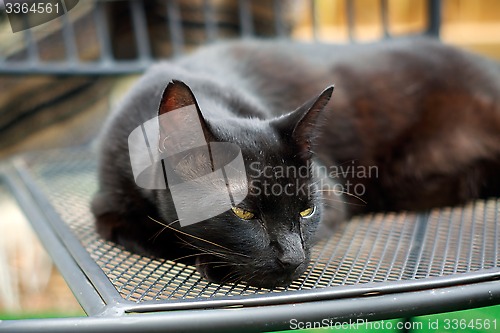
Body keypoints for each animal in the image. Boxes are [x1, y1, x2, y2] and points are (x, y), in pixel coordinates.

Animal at [92, 35, 500, 286]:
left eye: (306, 211)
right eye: (242, 213)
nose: (293, 258)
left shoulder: (333, 197)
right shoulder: (108, 213)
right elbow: (158, 237)